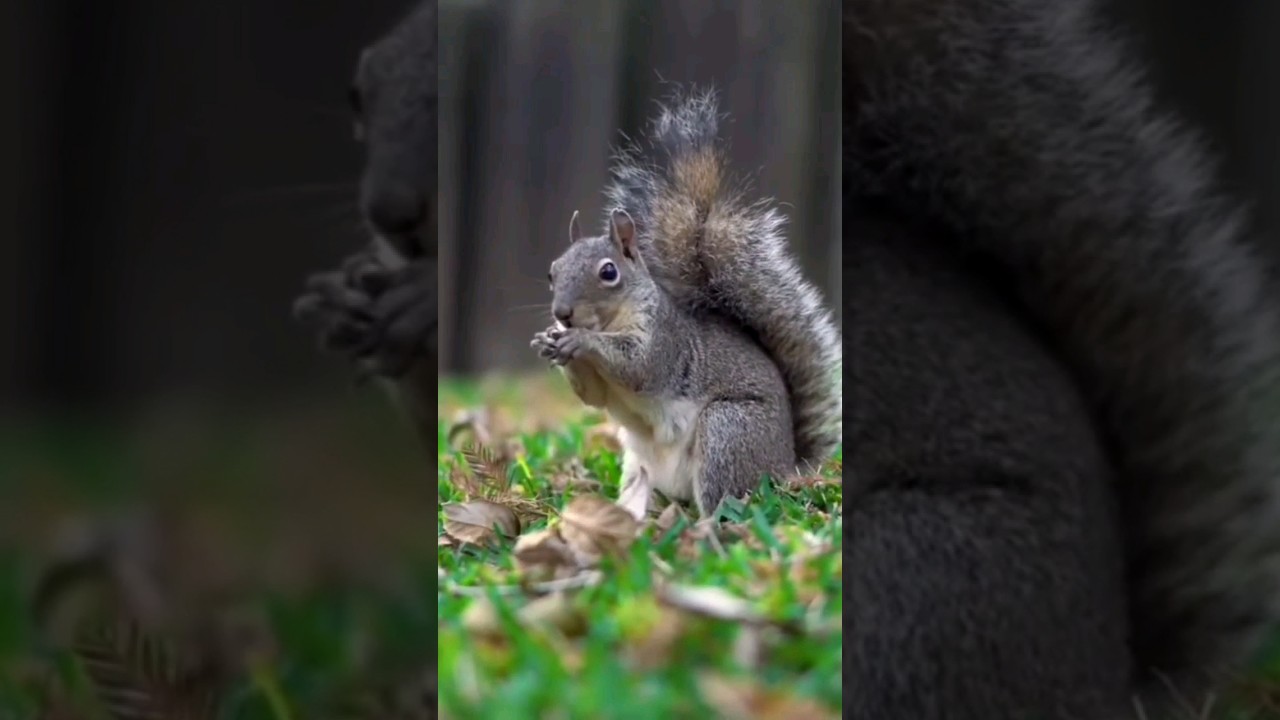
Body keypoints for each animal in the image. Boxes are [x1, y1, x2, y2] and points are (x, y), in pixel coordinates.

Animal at [532, 209, 795, 518]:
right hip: (637, 469)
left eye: (608, 272)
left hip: (727, 431)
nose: (562, 313)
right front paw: (549, 340)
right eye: (552, 271)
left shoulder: (663, 342)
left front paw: (580, 339)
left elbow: (638, 367)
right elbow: (593, 395)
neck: (610, 324)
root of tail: (788, 465)